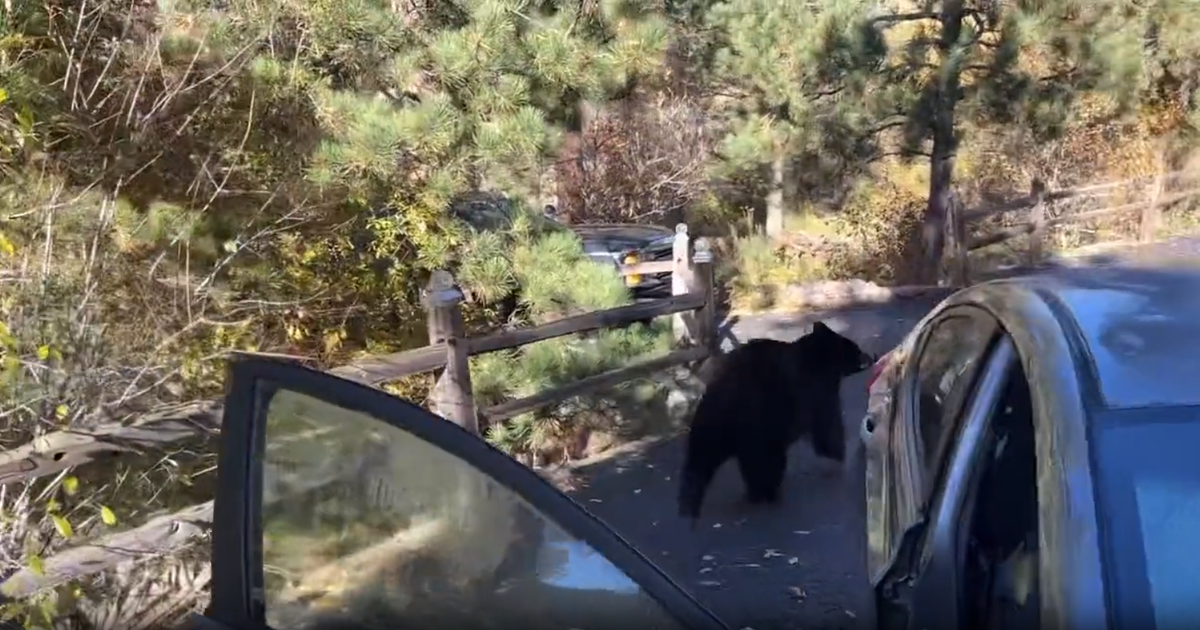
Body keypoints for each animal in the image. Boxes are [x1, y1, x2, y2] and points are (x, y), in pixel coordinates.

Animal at [676, 320, 876, 522]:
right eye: (856, 349)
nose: (871, 356)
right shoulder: (817, 390)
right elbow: (828, 423)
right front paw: (838, 453)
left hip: (712, 427)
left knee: (700, 461)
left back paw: (691, 502)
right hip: (759, 425)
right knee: (765, 462)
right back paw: (766, 492)